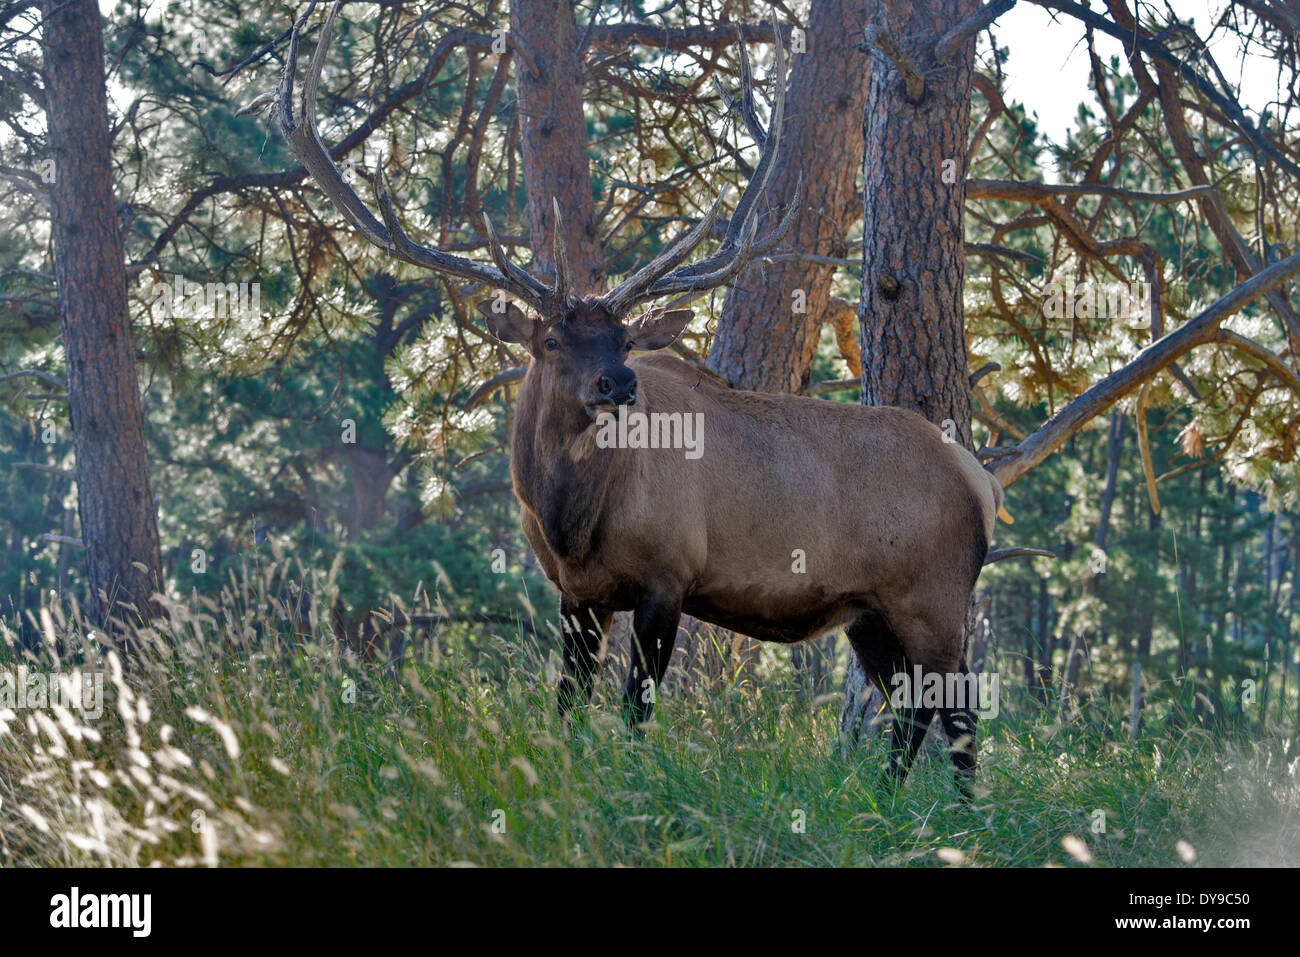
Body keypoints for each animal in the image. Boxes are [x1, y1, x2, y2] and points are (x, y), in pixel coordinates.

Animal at [264, 2, 1004, 796]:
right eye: (552, 339)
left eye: (622, 339)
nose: (618, 383)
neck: (571, 520)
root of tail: (982, 480)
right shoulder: (577, 592)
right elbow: (567, 702)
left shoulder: (667, 575)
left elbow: (634, 712)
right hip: (868, 610)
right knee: (914, 704)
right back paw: (894, 798)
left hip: (932, 593)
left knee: (956, 705)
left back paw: (959, 806)